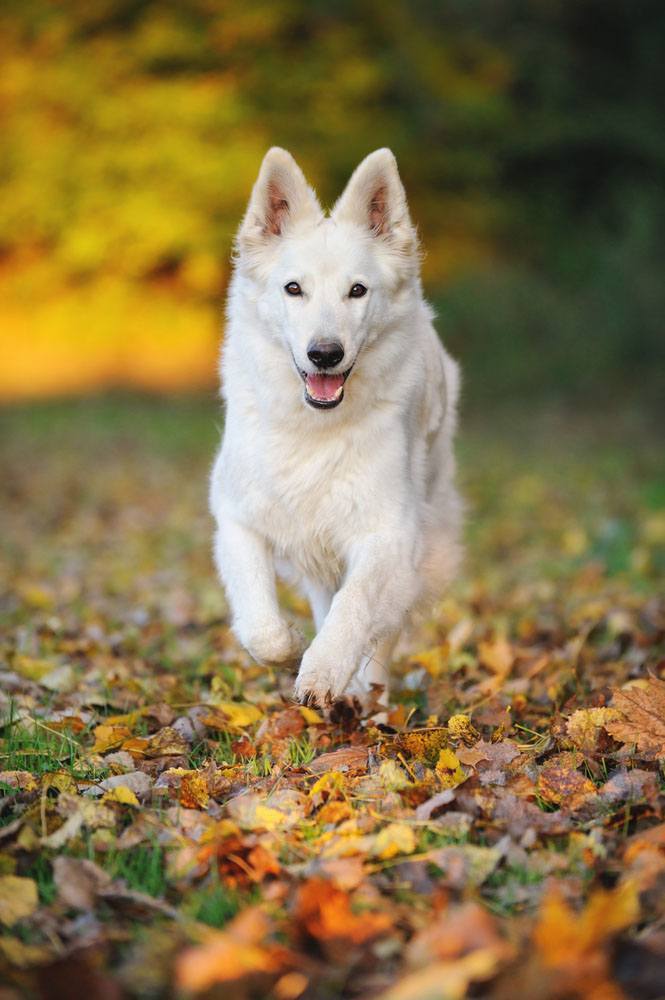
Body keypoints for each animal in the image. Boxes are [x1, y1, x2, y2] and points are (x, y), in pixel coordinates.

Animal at [210, 148, 460, 712]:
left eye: (357, 291)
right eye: (293, 289)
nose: (325, 354)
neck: (314, 428)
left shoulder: (387, 532)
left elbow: (356, 605)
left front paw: (324, 669)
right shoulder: (238, 520)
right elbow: (261, 626)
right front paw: (291, 650)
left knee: (382, 627)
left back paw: (368, 692)